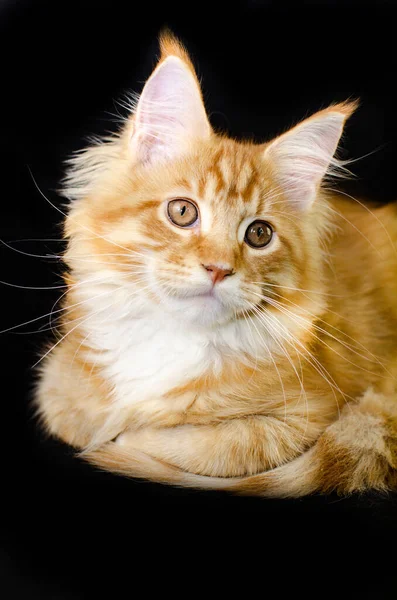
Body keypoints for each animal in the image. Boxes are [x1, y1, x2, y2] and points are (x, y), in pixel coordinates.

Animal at [33, 30, 396, 494]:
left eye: (259, 235)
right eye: (182, 212)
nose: (219, 269)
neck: (174, 337)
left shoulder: (307, 415)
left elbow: (207, 446)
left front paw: (128, 436)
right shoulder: (58, 379)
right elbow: (72, 415)